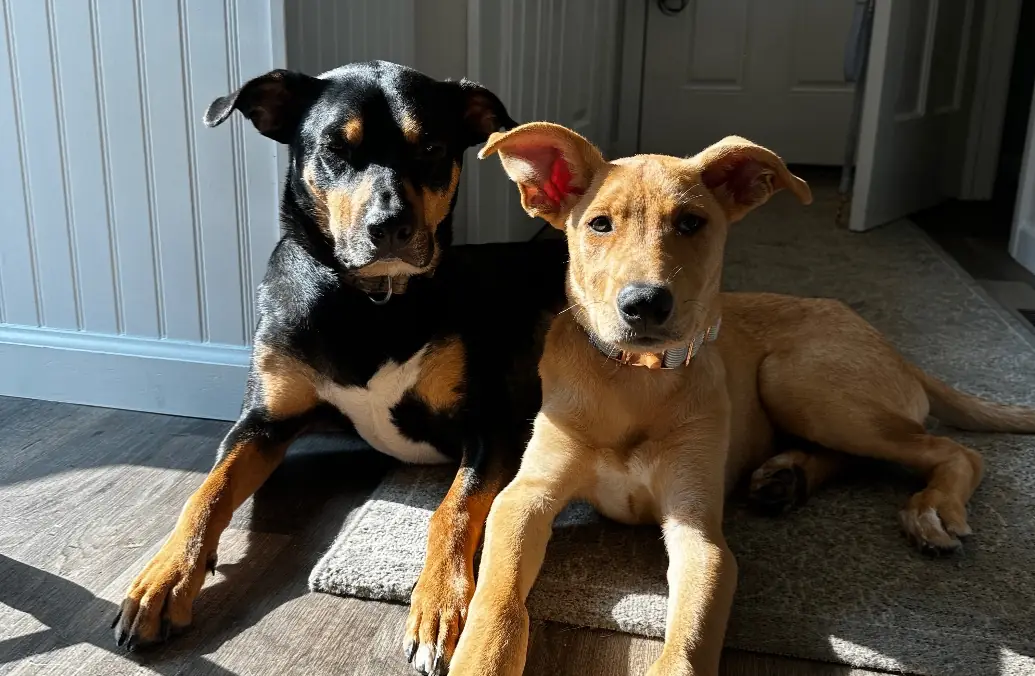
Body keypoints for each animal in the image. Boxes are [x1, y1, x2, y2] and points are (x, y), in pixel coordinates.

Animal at [111, 62, 568, 676]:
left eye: (432, 147)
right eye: (334, 148)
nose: (390, 227)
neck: (369, 302)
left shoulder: (489, 426)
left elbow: (453, 509)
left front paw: (439, 605)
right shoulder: (264, 420)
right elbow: (206, 492)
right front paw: (165, 579)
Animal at [448, 122, 1035, 676]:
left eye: (690, 223)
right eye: (599, 224)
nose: (645, 304)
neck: (636, 381)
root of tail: (892, 348)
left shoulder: (698, 530)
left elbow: (688, 638)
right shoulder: (525, 497)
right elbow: (498, 597)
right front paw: (482, 656)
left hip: (799, 380)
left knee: (955, 450)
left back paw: (930, 509)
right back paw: (787, 477)